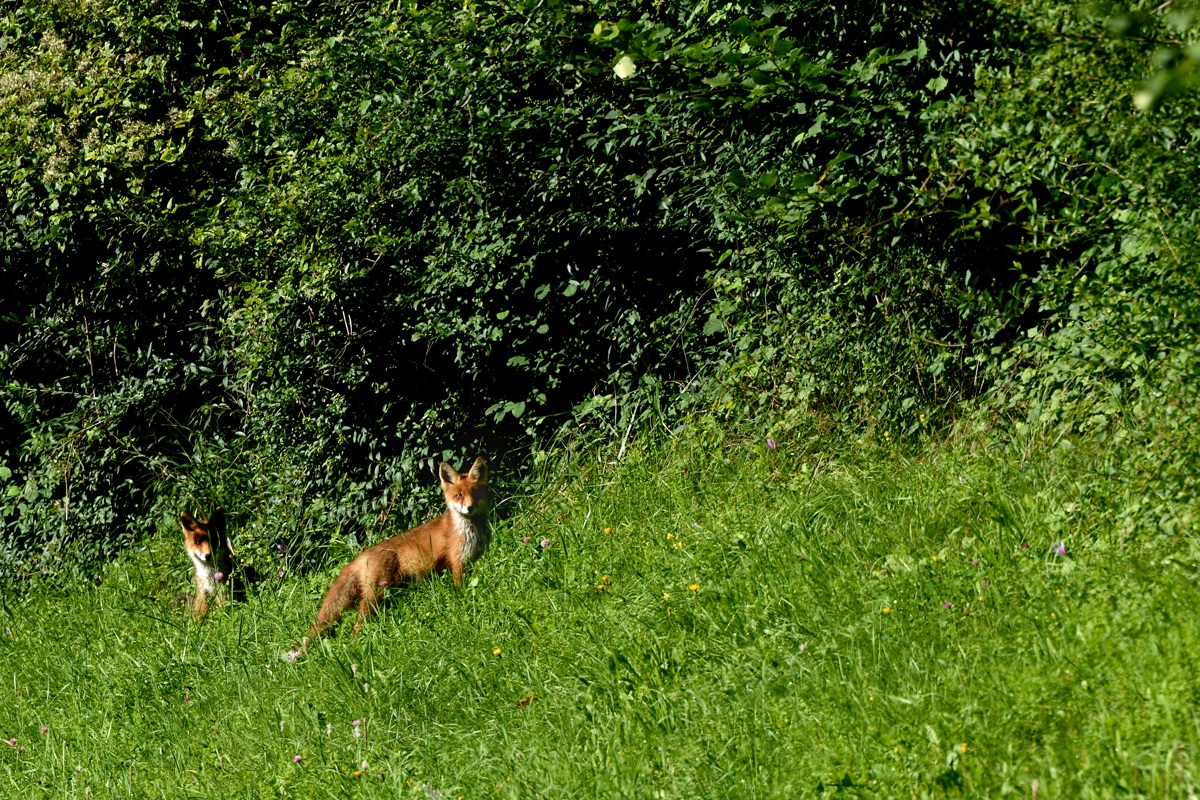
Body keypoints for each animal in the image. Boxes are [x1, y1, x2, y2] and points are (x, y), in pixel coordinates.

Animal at [284, 460, 487, 662]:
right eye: (459, 495)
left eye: (475, 493)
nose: (470, 507)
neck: (470, 530)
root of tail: (362, 555)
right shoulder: (458, 562)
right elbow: (459, 588)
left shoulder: (473, 560)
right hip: (375, 596)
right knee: (357, 623)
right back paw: (357, 644)